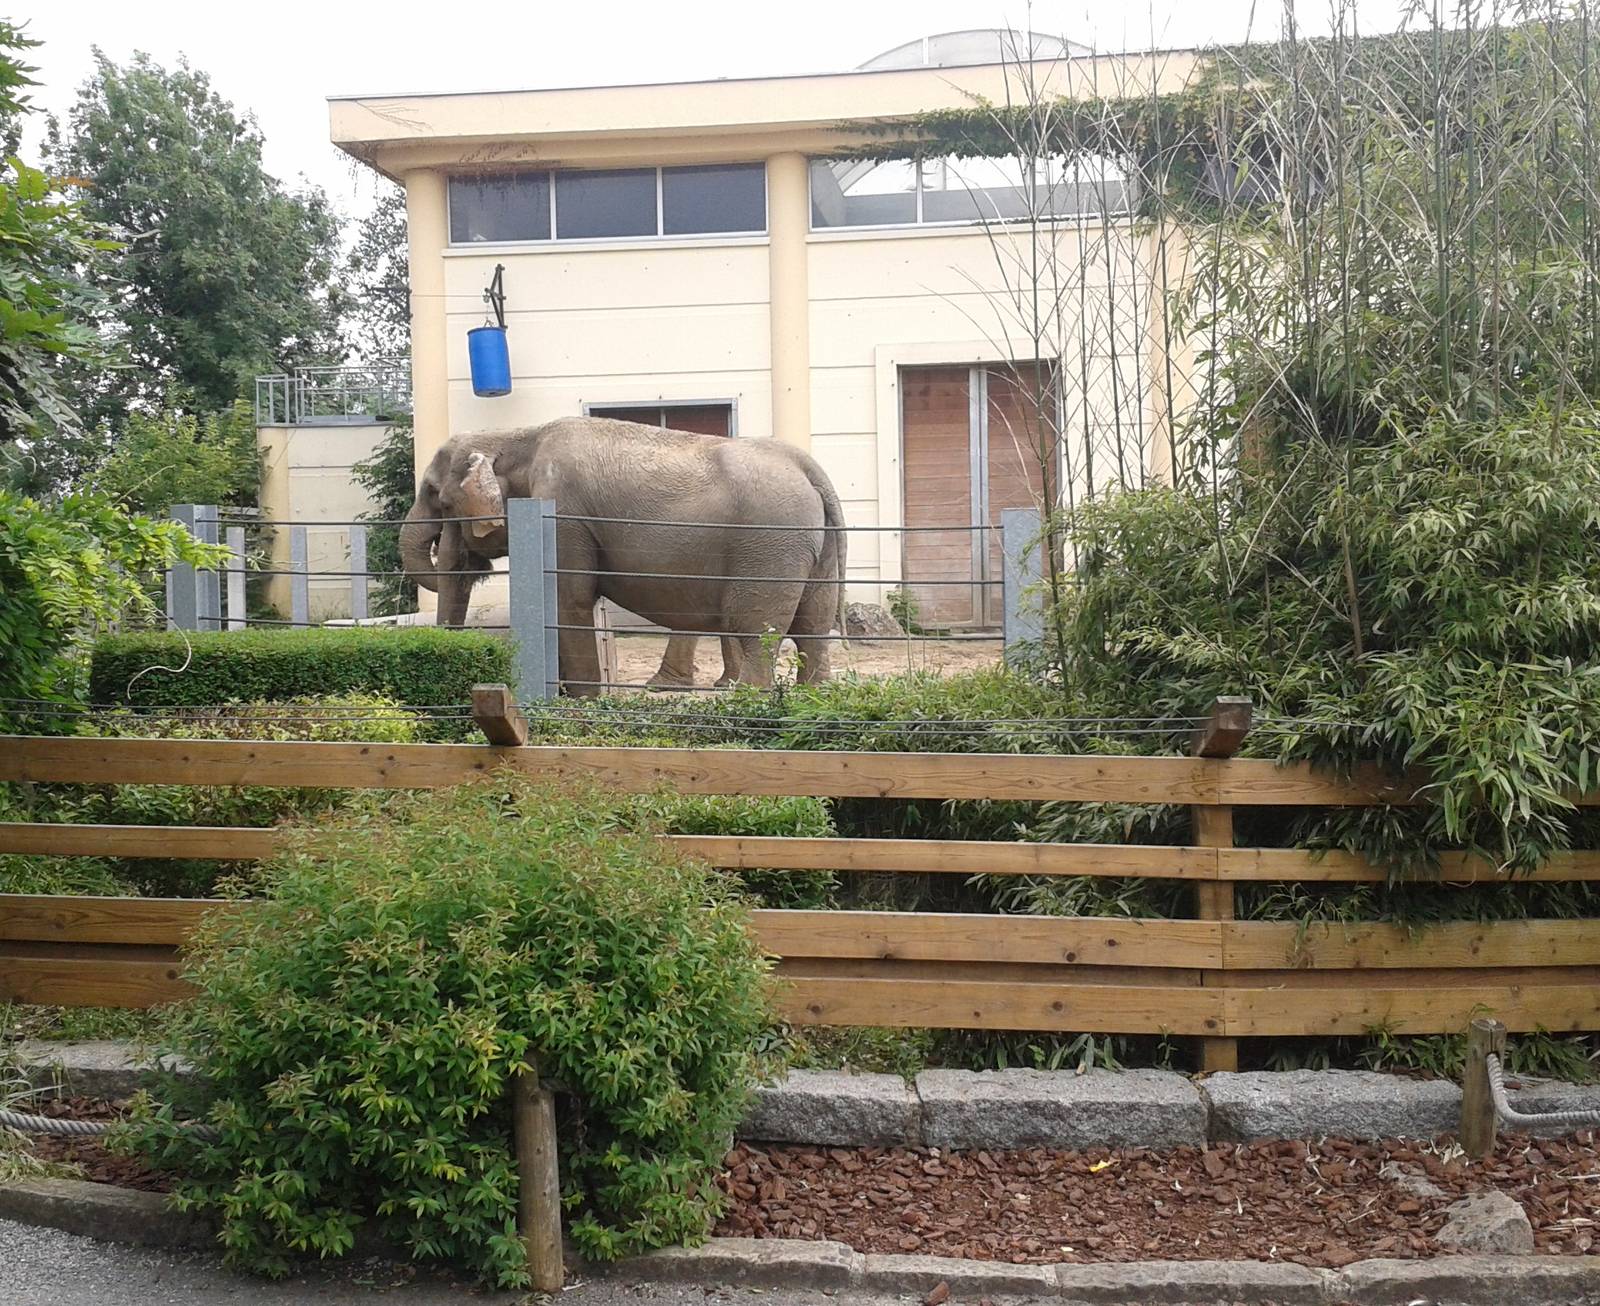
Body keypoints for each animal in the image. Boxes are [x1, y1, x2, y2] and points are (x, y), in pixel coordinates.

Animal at [399, 418, 847, 695]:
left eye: (438, 498)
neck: (517, 434)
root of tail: (810, 468)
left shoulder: (564, 514)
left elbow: (568, 599)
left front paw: (583, 701)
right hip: (814, 551)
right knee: (813, 627)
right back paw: (814, 698)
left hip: (770, 545)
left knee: (756, 631)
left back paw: (747, 699)